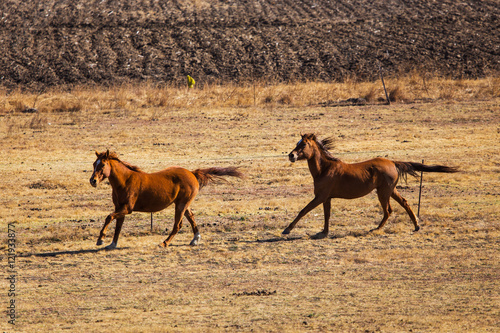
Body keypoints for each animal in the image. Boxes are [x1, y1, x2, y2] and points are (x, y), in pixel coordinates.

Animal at [91, 149, 244, 248]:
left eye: (102, 164)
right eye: (94, 164)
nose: (92, 181)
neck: (125, 180)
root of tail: (192, 173)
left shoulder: (126, 209)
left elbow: (109, 217)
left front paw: (101, 239)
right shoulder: (120, 208)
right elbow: (118, 226)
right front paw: (112, 244)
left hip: (181, 205)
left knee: (178, 225)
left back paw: (164, 243)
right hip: (184, 204)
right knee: (191, 217)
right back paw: (195, 240)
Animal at [282, 134, 458, 237]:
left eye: (304, 144)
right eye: (297, 143)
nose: (291, 155)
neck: (324, 169)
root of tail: (393, 162)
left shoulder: (320, 197)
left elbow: (303, 210)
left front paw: (287, 229)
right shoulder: (326, 198)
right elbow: (327, 215)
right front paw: (324, 232)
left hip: (383, 192)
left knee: (388, 210)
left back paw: (376, 229)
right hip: (390, 190)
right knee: (404, 203)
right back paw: (416, 226)